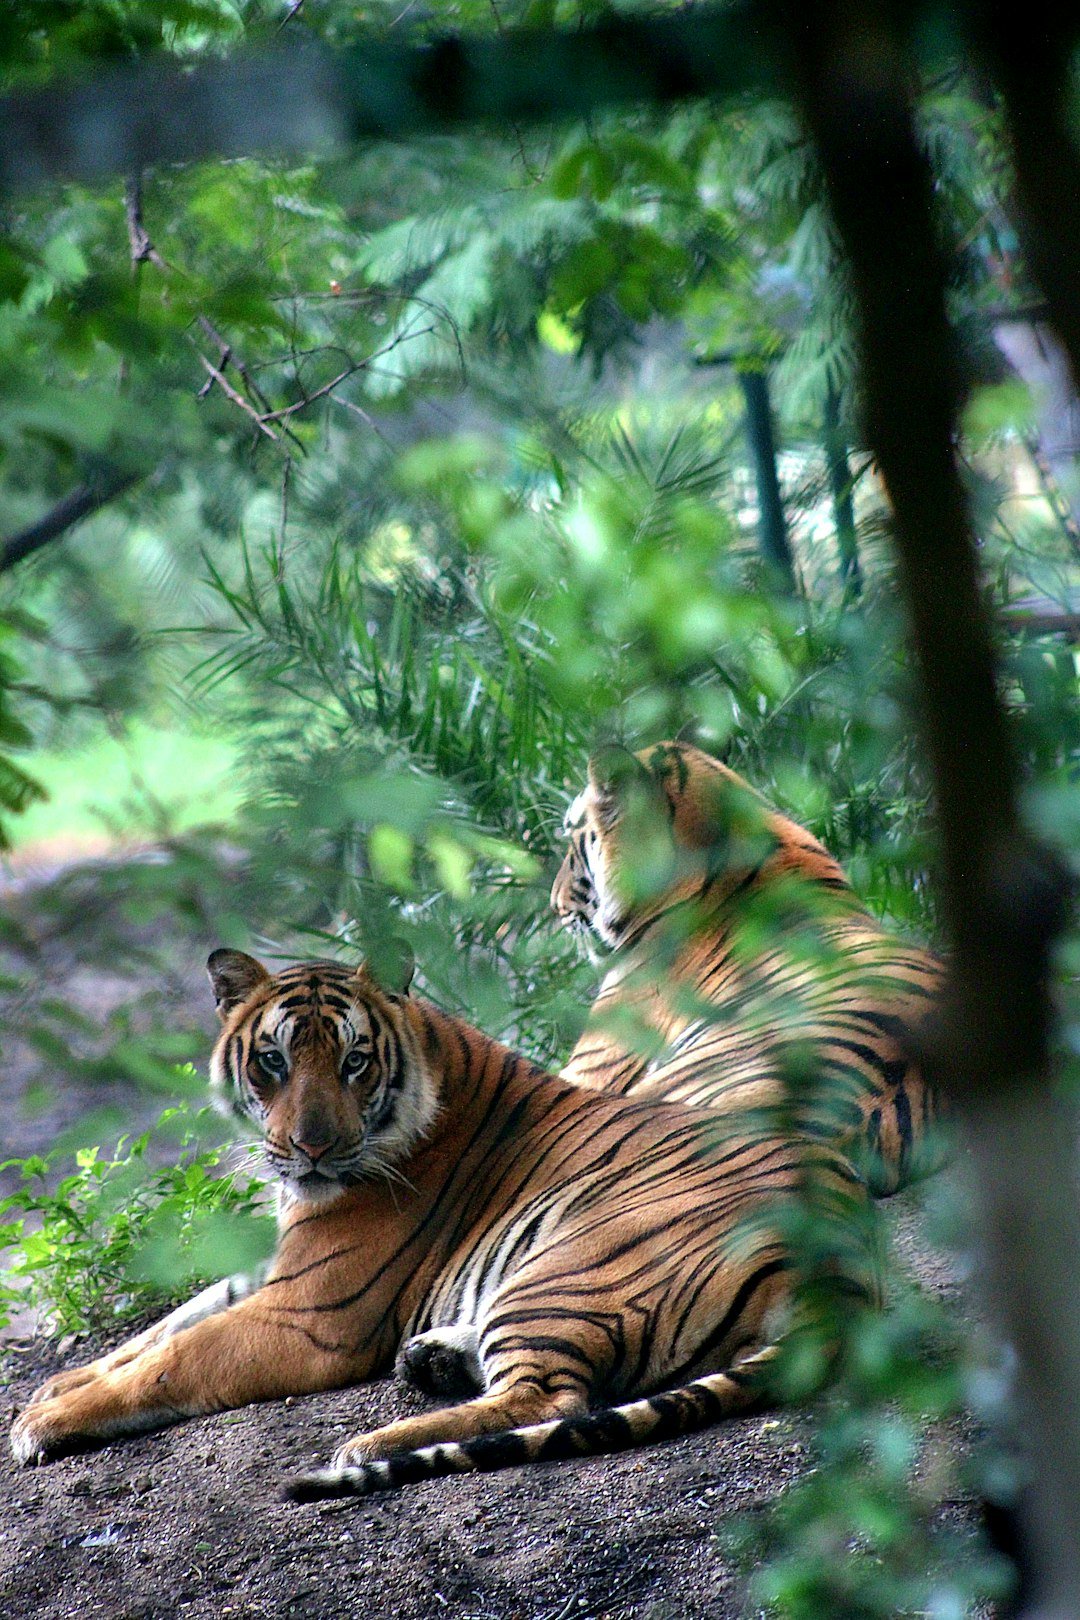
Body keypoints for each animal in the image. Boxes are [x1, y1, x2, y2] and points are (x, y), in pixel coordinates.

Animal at [11, 948, 878, 1501]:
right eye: (273, 1062)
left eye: (355, 1062)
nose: (310, 1148)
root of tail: (846, 1267)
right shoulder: (276, 1267)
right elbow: (165, 1324)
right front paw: (59, 1383)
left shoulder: (312, 1312)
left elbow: (178, 1356)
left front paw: (45, 1420)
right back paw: (431, 1359)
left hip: (568, 1265)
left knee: (551, 1399)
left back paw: (373, 1443)